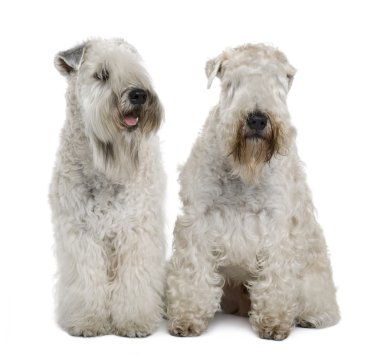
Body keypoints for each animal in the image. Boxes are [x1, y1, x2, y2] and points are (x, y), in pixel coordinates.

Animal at [48, 37, 165, 338]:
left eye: (135, 68)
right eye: (101, 74)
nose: (138, 95)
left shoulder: (136, 231)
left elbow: (134, 279)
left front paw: (134, 321)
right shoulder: (80, 233)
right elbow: (86, 279)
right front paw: (87, 320)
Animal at [168, 43, 340, 340]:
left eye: (276, 82)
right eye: (234, 82)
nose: (258, 119)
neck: (245, 169)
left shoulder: (277, 225)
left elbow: (276, 277)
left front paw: (273, 322)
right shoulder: (199, 219)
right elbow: (192, 272)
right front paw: (187, 318)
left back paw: (310, 317)